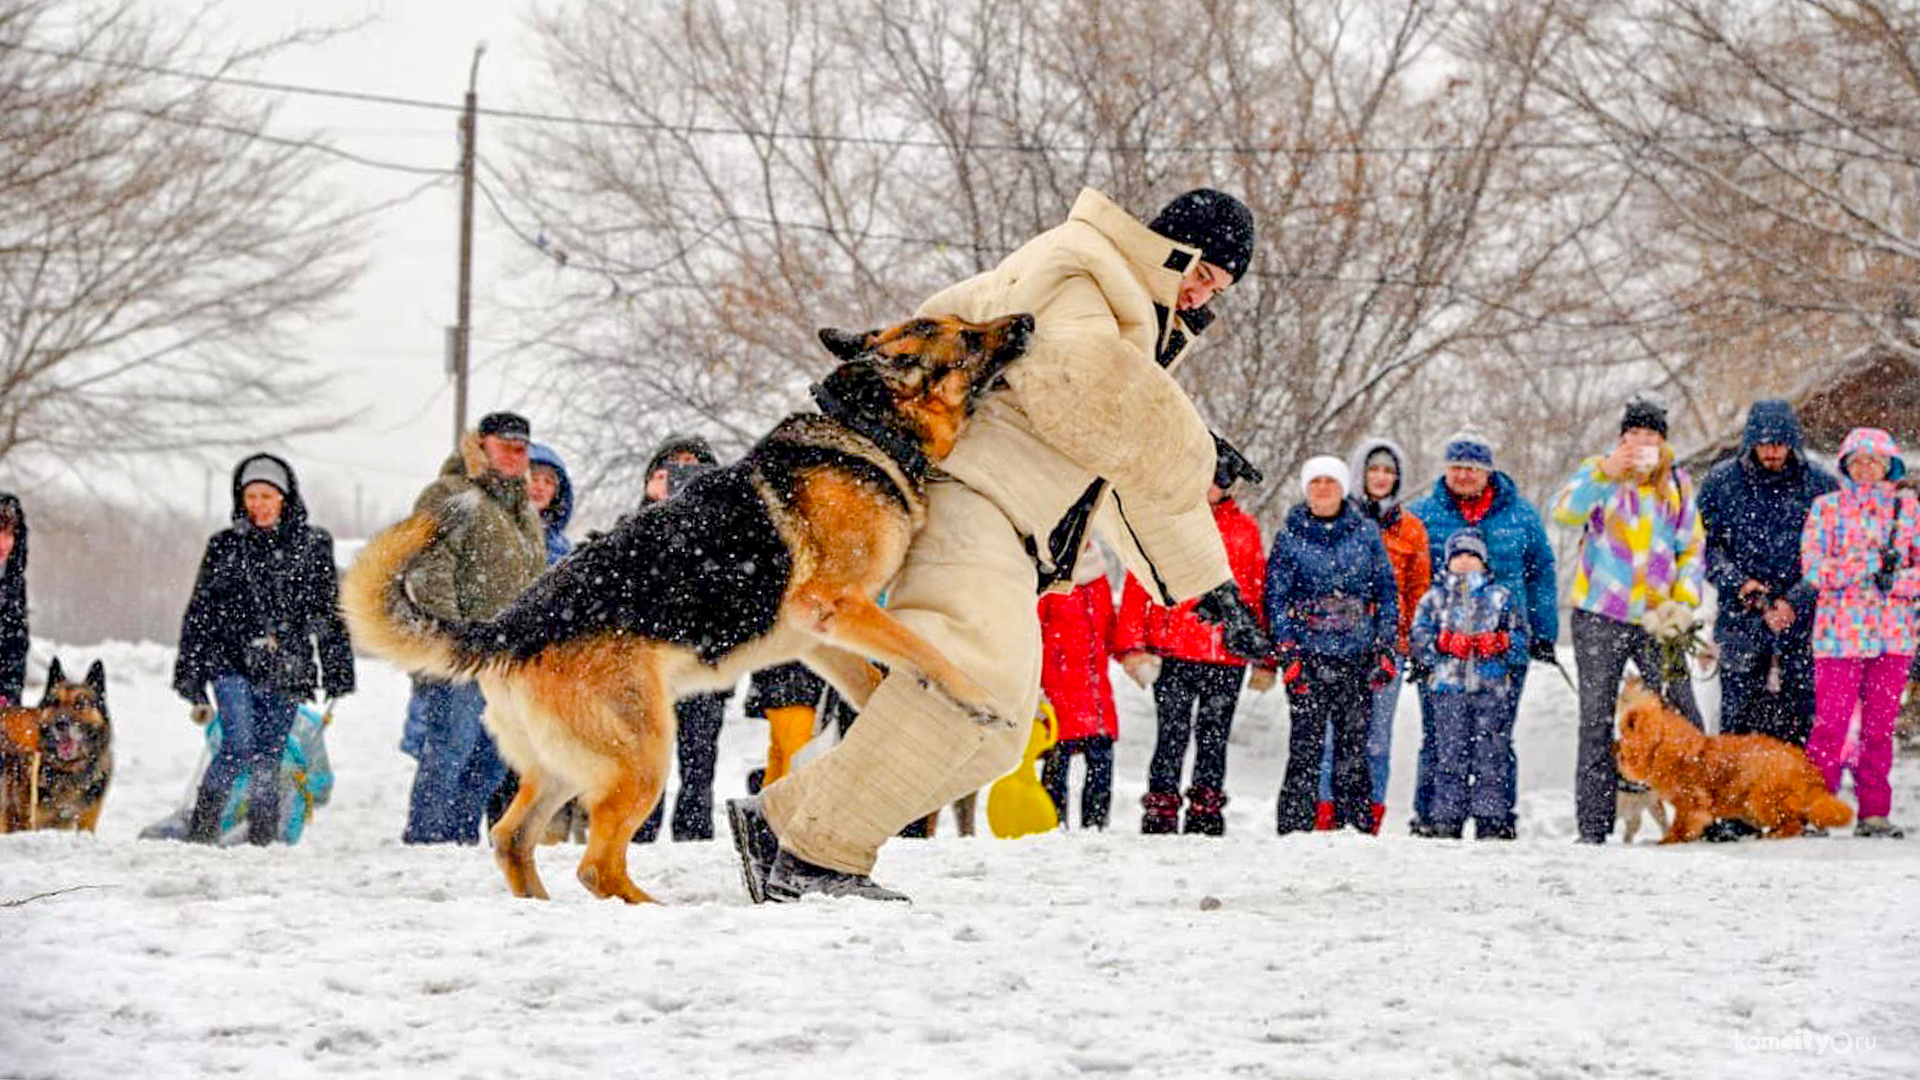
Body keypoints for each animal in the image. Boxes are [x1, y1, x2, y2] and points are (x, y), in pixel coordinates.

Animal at [345, 311, 1036, 899]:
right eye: (967, 334)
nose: (1027, 320)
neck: (868, 429)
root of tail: (509, 626)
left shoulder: (819, 634)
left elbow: (871, 679)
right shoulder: (834, 603)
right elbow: (921, 648)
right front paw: (975, 696)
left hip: (564, 765)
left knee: (513, 838)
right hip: (645, 755)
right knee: (596, 866)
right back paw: (649, 909)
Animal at [1612, 672, 1850, 841]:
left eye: (1623, 732)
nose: (1614, 747)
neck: (1661, 746)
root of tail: (1808, 769)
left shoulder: (1690, 803)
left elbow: (1679, 827)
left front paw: (1668, 841)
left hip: (1758, 799)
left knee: (1792, 823)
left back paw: (1771, 835)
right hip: (1750, 806)